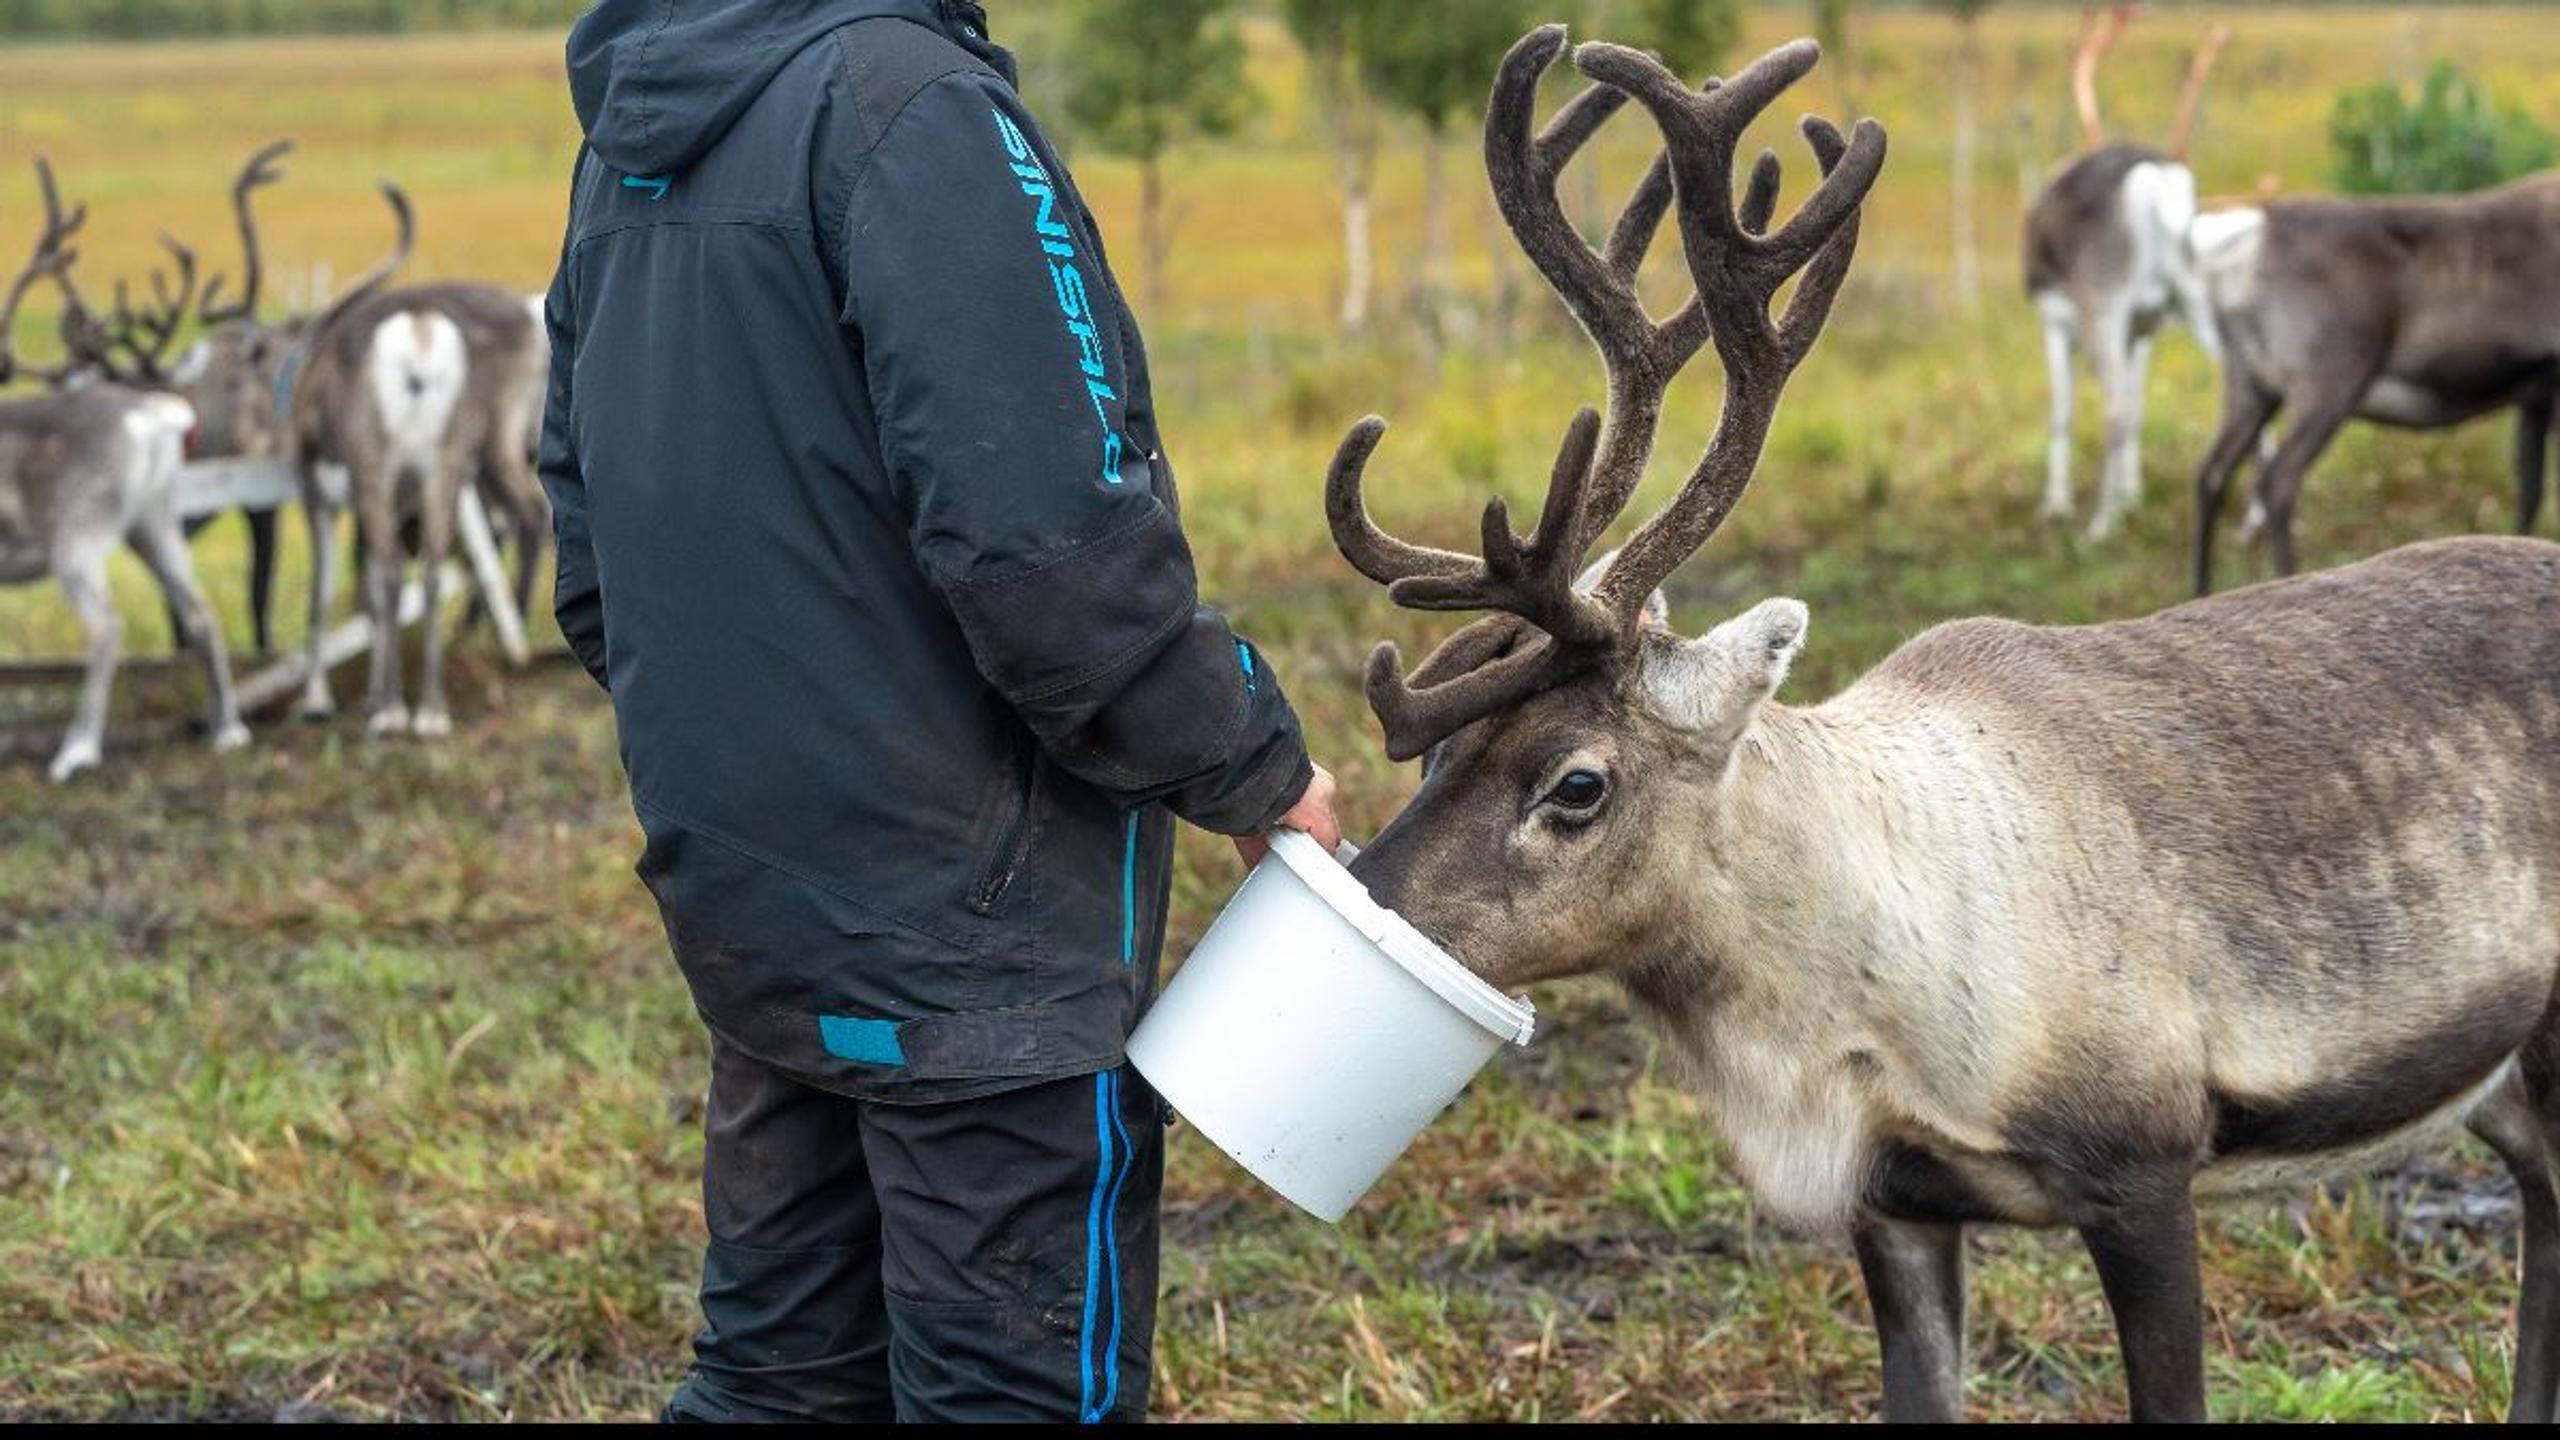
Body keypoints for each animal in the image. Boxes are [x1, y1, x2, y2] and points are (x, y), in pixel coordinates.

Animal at [0, 187, 248, 782]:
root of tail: (154, 414)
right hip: (154, 523)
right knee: (200, 612)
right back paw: (229, 730)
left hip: (77, 538)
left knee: (106, 626)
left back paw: (76, 750)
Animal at [2023, 6, 2232, 540]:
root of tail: (2157, 180)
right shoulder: (2145, 328)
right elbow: (2140, 407)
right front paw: (2132, 495)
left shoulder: (2054, 319)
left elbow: (2063, 411)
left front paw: (2057, 504)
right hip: (2189, 297)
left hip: (2104, 304)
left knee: (2113, 406)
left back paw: (2097, 525)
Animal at [2185, 171, 2560, 595]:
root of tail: (2252, 239)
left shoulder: (2536, 394)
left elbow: (2530, 491)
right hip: (2328, 380)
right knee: (2277, 481)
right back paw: (2287, 577)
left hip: (2251, 383)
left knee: (2212, 475)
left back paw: (2200, 591)